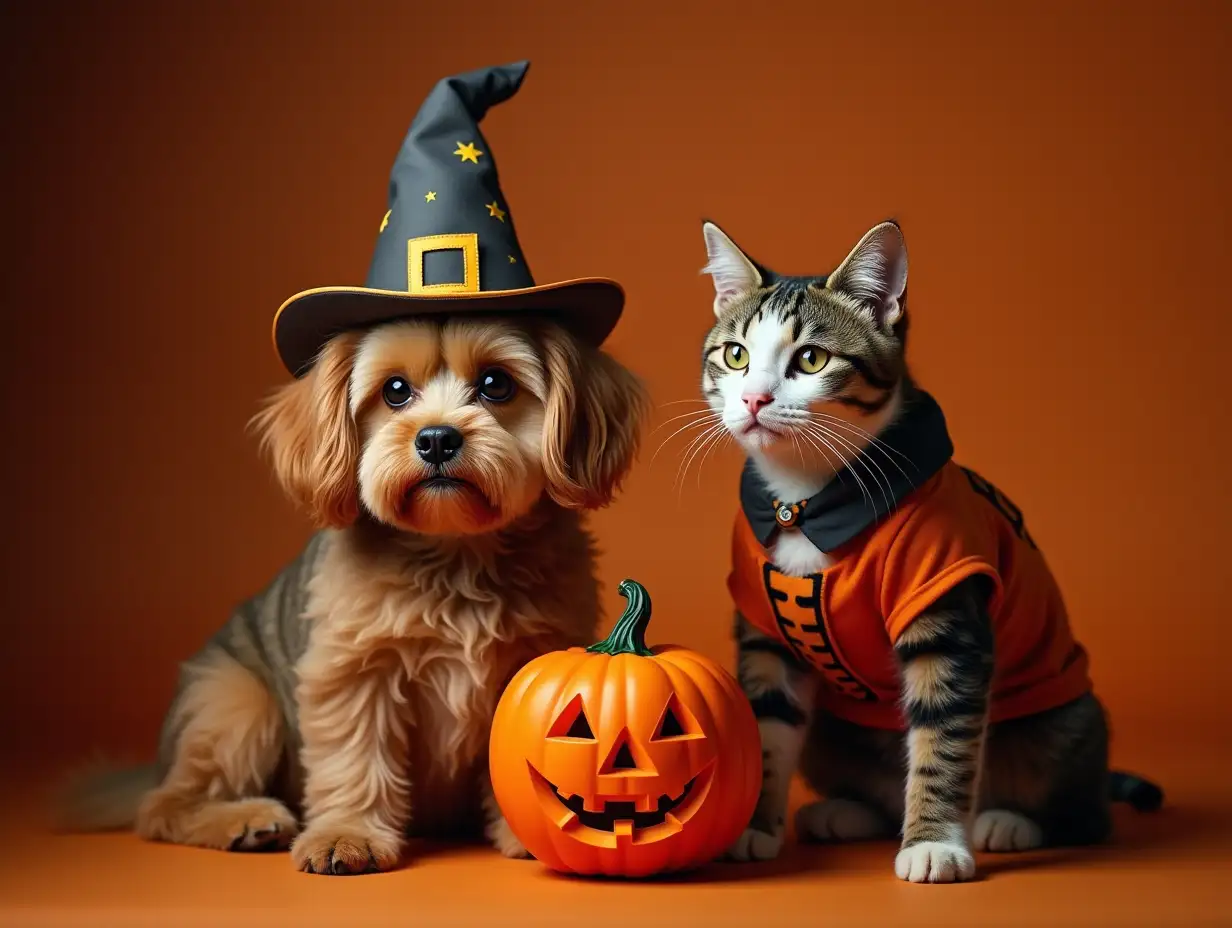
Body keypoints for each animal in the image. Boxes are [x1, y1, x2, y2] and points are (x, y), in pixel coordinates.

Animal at [58, 315, 650, 872]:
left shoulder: (530, 667)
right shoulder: (355, 674)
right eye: (395, 391)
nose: (436, 438)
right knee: (163, 807)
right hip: (236, 702)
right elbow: (355, 757)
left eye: (495, 384)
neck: (457, 555)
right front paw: (349, 834)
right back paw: (242, 820)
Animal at [699, 216, 1158, 882]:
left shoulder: (945, 606)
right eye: (736, 355)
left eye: (811, 359)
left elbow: (943, 735)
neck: (806, 503)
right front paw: (751, 828)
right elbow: (765, 720)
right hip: (836, 734)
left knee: (1083, 809)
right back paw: (846, 811)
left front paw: (935, 844)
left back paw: (1011, 822)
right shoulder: (765, 629)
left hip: (1063, 724)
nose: (754, 399)